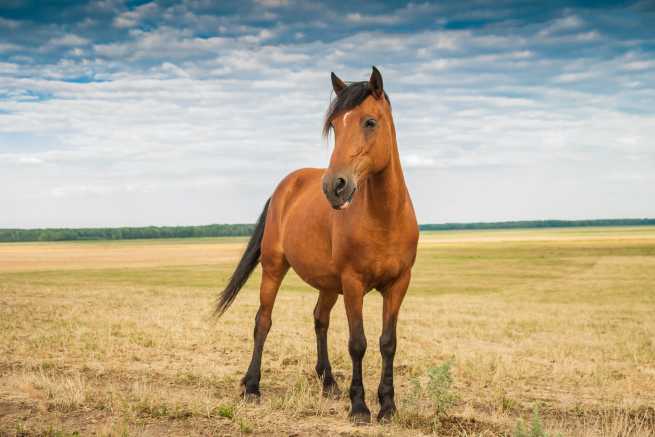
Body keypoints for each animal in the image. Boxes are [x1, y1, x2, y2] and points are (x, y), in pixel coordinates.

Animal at [215, 65, 420, 422]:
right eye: (334, 126)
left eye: (370, 122)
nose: (334, 186)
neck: (385, 217)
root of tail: (285, 186)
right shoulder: (353, 284)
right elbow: (358, 343)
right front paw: (360, 407)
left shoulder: (398, 284)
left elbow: (388, 342)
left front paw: (388, 406)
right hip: (274, 268)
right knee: (263, 321)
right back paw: (252, 386)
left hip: (328, 284)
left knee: (319, 319)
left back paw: (328, 383)